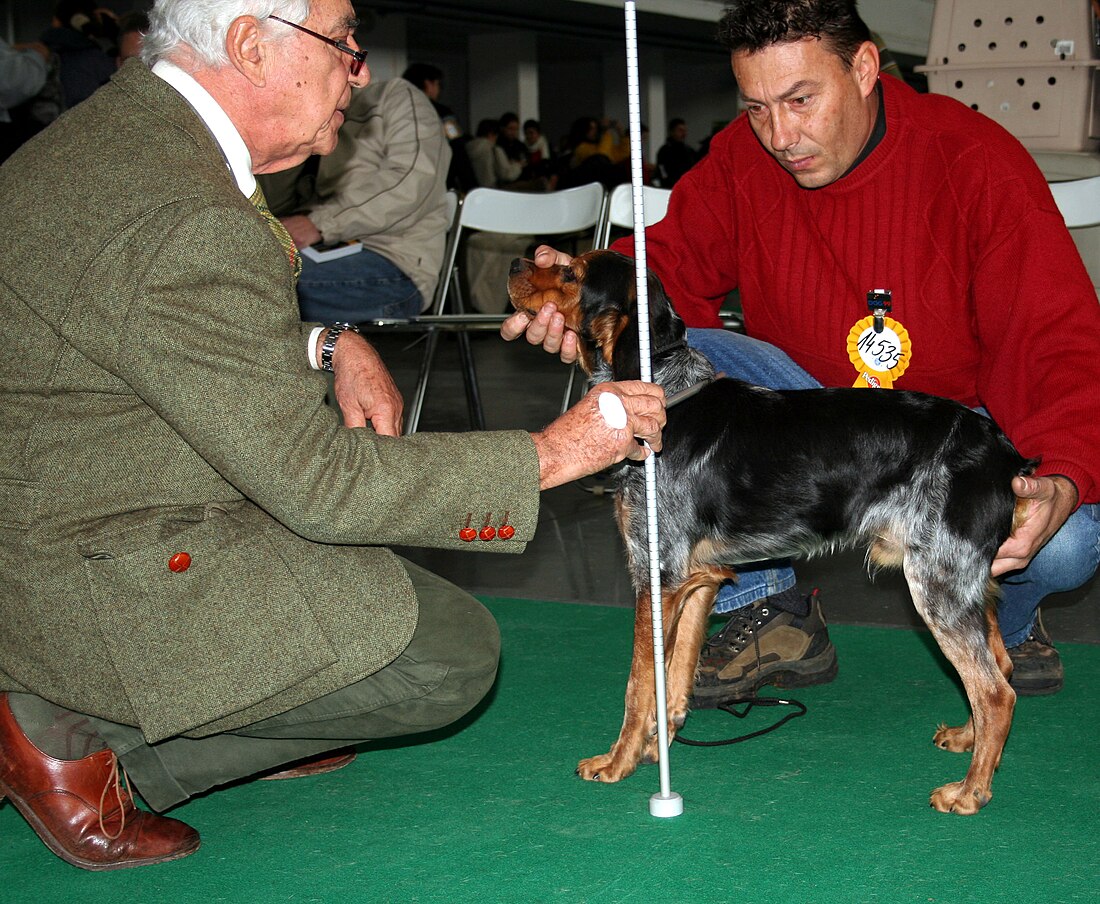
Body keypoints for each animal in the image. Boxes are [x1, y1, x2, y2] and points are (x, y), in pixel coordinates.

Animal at [508, 251, 1038, 818]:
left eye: (572, 273)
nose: (517, 261)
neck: (669, 397)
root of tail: (1003, 453)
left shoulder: (655, 577)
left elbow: (639, 685)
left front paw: (617, 762)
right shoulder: (695, 582)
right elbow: (674, 681)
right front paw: (656, 750)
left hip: (937, 585)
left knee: (995, 693)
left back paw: (969, 792)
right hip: (963, 583)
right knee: (1000, 667)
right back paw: (966, 740)